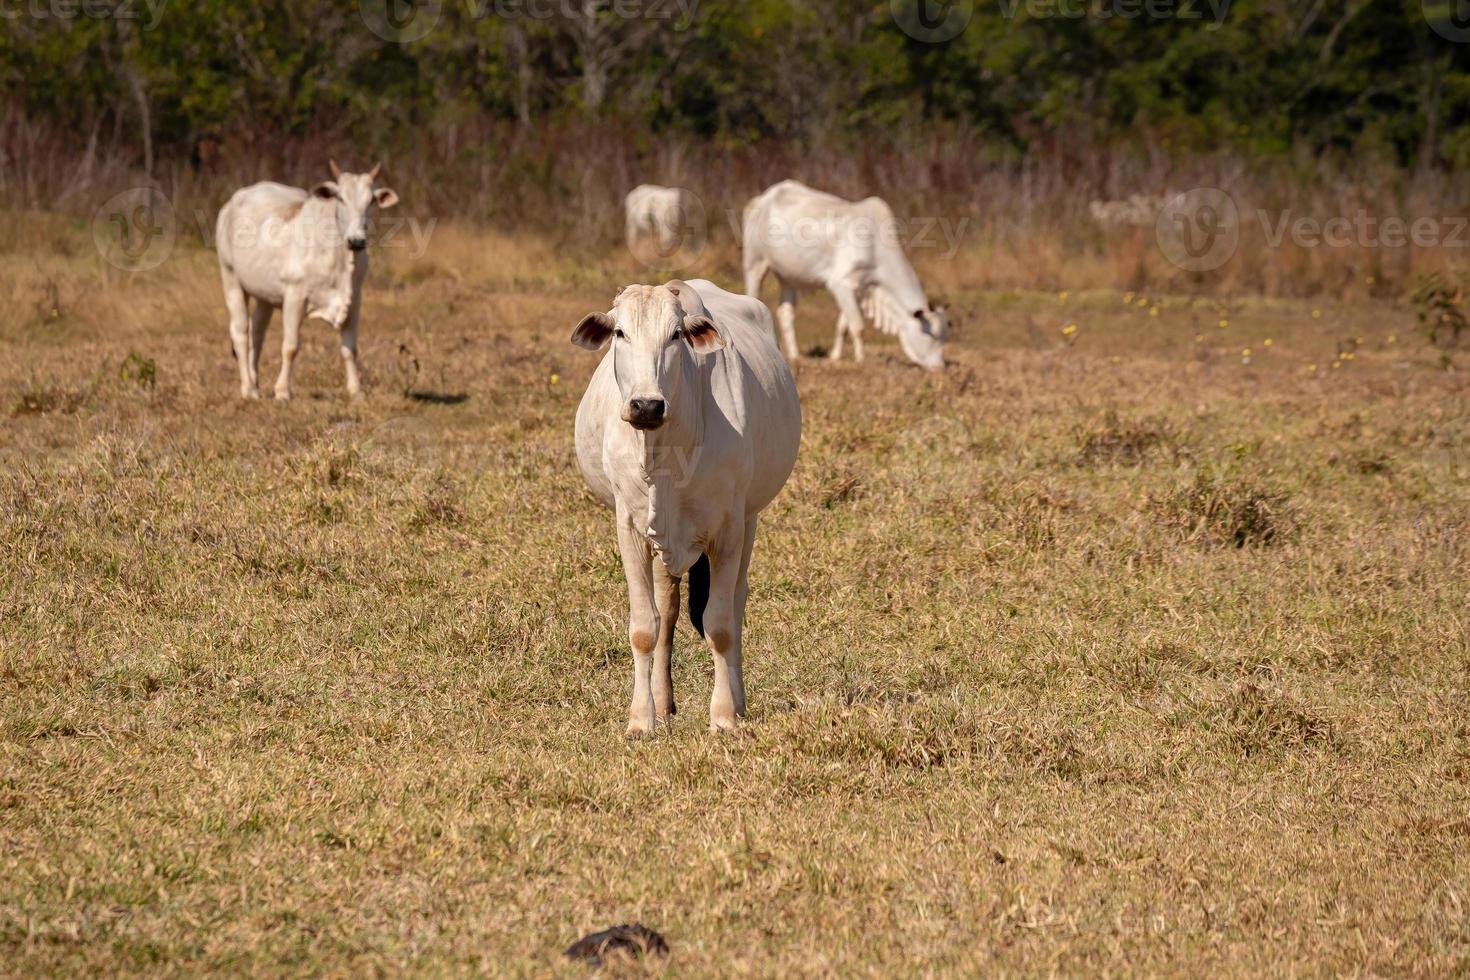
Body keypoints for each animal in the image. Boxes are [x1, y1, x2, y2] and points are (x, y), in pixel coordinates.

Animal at [214, 160, 399, 399]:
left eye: (371, 201)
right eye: (340, 198)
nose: (357, 241)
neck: (340, 261)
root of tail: (232, 203)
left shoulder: (355, 300)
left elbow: (350, 349)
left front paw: (356, 390)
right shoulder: (295, 297)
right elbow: (290, 347)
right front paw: (283, 391)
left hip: (265, 294)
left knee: (257, 333)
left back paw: (255, 382)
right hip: (231, 278)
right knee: (241, 333)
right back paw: (249, 389)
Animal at [573, 276, 805, 734]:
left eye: (676, 335)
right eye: (619, 333)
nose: (646, 405)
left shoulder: (729, 529)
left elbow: (720, 624)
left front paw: (724, 716)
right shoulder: (630, 529)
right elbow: (645, 627)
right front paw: (641, 719)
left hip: (750, 520)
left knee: (736, 601)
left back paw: (739, 701)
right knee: (667, 614)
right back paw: (664, 702)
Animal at [740, 179, 946, 371]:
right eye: (933, 336)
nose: (940, 367)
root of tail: (762, 199)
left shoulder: (859, 289)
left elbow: (843, 327)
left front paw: (835, 357)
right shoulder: (841, 284)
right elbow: (858, 326)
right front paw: (861, 359)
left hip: (790, 278)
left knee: (786, 313)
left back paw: (795, 355)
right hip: (754, 263)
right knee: (753, 296)